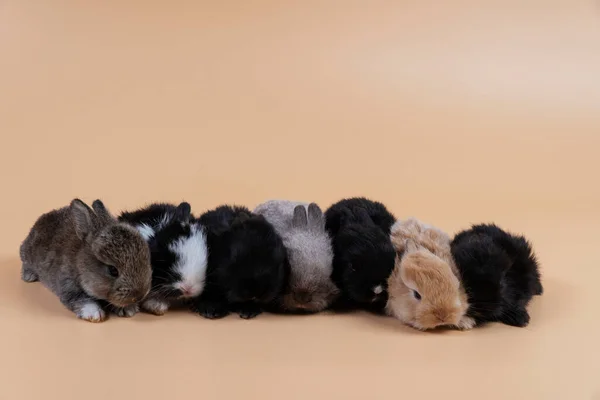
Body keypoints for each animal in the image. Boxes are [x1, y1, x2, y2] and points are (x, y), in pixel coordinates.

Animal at [20, 199, 154, 322]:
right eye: (113, 270)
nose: (140, 295)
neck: (80, 264)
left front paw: (128, 309)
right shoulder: (68, 287)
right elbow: (83, 300)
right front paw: (94, 314)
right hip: (26, 255)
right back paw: (29, 276)